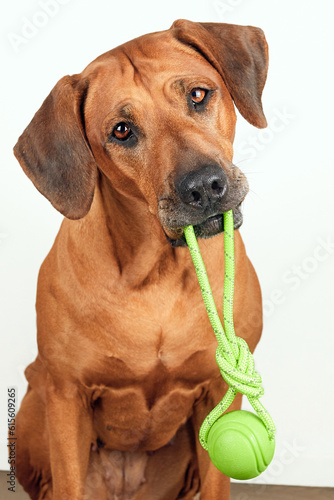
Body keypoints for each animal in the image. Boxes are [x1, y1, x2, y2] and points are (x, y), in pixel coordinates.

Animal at [13, 19, 268, 500]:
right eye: (121, 131)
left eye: (199, 95)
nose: (204, 186)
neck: (158, 271)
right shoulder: (66, 395)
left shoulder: (219, 390)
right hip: (35, 406)